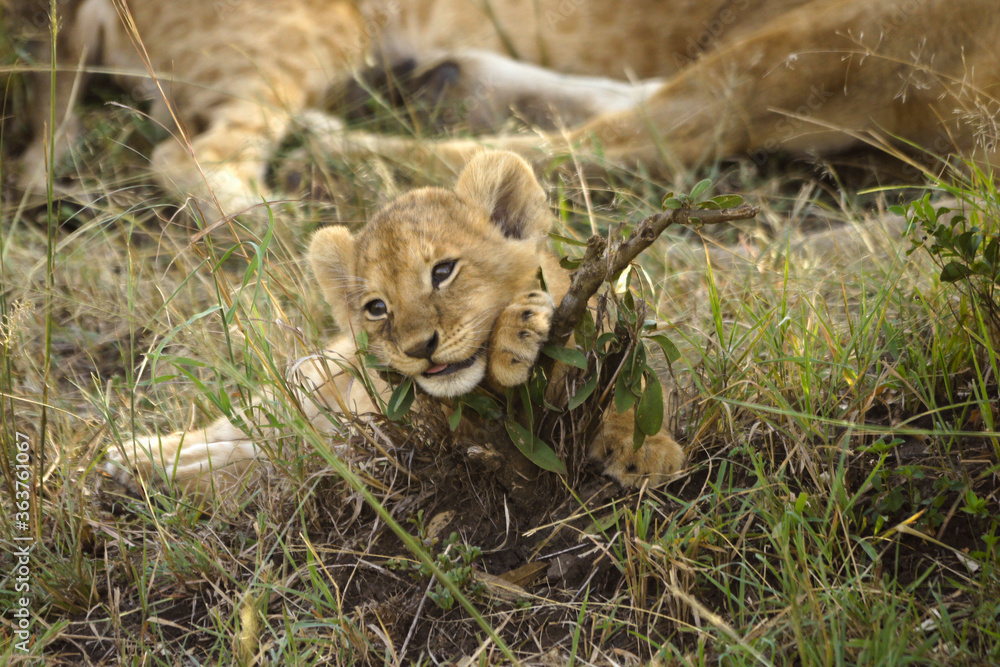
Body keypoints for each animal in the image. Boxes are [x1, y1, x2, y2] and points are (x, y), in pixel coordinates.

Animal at [102, 150, 686, 495]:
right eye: (376, 307)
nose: (419, 347)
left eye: (444, 271)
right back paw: (134, 462)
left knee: (262, 451)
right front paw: (515, 336)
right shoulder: (403, 426)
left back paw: (139, 470)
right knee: (252, 442)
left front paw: (645, 450)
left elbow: (622, 394)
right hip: (308, 390)